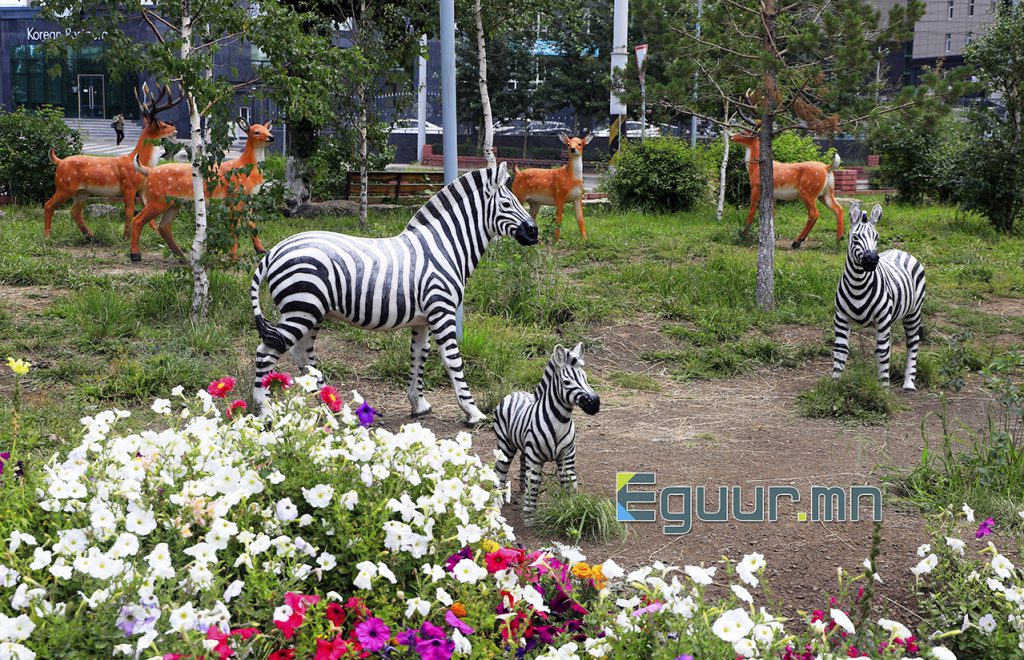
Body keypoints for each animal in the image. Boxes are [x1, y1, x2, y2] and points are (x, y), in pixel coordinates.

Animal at [43, 84, 180, 240]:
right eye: (163, 125)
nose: (175, 129)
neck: (141, 163)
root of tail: (59, 161)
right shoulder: (128, 186)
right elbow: (129, 211)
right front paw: (126, 237)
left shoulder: (142, 189)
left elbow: (147, 212)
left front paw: (155, 234)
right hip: (64, 186)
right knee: (48, 205)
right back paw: (47, 235)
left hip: (82, 192)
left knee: (75, 211)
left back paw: (91, 236)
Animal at [129, 116, 273, 263]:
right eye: (256, 132)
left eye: (268, 130)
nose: (271, 137)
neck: (246, 169)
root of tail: (149, 171)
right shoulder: (235, 197)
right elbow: (234, 227)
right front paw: (233, 257)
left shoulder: (249, 199)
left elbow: (252, 224)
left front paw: (261, 250)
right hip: (157, 200)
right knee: (137, 220)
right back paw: (135, 254)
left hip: (173, 203)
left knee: (164, 226)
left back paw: (182, 257)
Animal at [249, 163, 539, 423]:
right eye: (507, 205)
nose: (534, 231)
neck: (445, 246)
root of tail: (274, 251)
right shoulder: (442, 311)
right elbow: (452, 360)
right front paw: (473, 412)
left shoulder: (423, 320)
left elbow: (419, 357)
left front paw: (419, 404)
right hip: (301, 308)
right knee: (267, 351)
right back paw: (266, 412)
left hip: (311, 312)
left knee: (301, 354)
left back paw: (332, 407)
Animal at [493, 343, 600, 515]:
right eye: (566, 382)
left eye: (585, 378)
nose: (595, 403)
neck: (560, 421)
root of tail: (515, 392)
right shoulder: (535, 457)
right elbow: (533, 485)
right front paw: (529, 516)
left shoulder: (567, 457)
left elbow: (570, 484)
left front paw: (572, 511)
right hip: (505, 444)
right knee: (500, 470)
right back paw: (497, 500)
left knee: (522, 461)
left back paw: (522, 490)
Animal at [833, 202, 926, 390]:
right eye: (855, 238)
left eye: (876, 237)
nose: (871, 259)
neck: (858, 284)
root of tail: (899, 250)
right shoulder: (840, 317)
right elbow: (841, 349)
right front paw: (834, 384)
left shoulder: (883, 318)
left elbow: (883, 351)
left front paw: (883, 388)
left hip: (914, 312)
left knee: (912, 343)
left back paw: (909, 383)